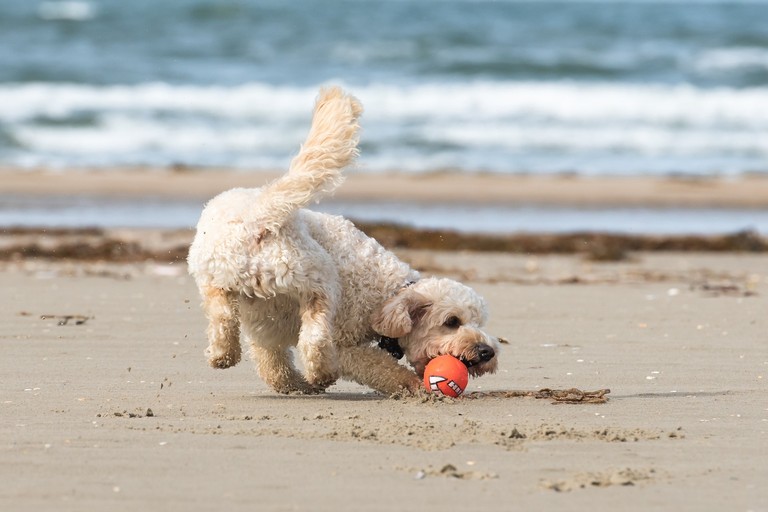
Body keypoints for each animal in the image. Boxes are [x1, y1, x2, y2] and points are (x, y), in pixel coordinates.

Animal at [188, 87, 500, 396]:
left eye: (478, 322)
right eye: (452, 322)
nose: (487, 352)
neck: (387, 295)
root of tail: (261, 215)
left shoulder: (264, 328)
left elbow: (273, 366)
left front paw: (295, 385)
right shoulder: (344, 342)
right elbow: (380, 367)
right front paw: (411, 385)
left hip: (218, 277)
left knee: (227, 317)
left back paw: (225, 355)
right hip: (319, 277)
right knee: (315, 335)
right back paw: (320, 372)